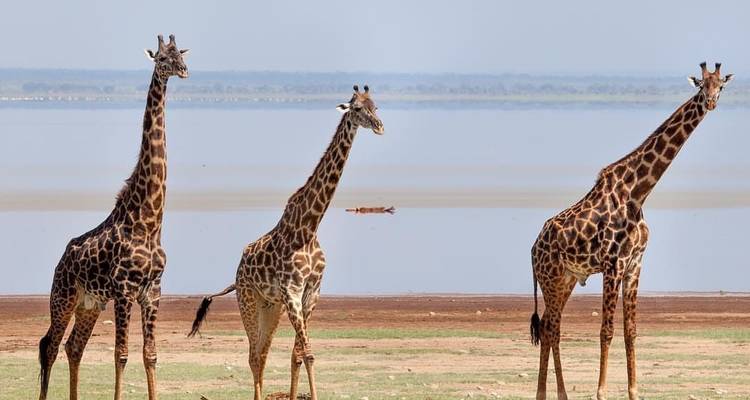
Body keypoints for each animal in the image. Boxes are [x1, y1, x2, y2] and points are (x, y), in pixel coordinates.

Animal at [37, 34, 188, 400]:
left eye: (181, 53)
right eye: (161, 58)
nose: (183, 70)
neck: (149, 221)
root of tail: (61, 260)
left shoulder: (152, 291)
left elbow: (150, 354)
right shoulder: (124, 290)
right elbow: (121, 354)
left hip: (90, 303)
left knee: (73, 347)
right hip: (63, 296)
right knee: (50, 345)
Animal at [189, 85, 384, 400]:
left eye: (375, 106)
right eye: (356, 109)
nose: (379, 126)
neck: (308, 227)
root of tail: (237, 273)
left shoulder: (311, 293)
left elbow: (298, 354)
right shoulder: (292, 291)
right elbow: (308, 353)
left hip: (272, 306)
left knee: (263, 353)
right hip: (249, 301)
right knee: (253, 356)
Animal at [529, 63, 733, 400]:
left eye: (721, 86)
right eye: (701, 86)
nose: (711, 103)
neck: (638, 193)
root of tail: (532, 248)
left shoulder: (636, 262)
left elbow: (631, 331)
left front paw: (634, 391)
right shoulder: (613, 263)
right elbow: (606, 330)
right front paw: (601, 392)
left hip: (567, 279)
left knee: (549, 327)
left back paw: (551, 393)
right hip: (551, 278)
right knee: (551, 328)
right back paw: (553, 394)